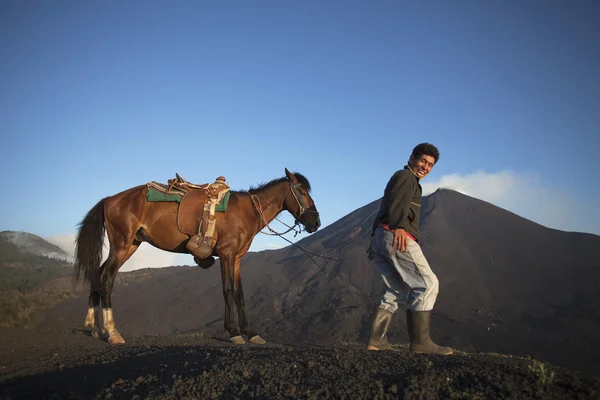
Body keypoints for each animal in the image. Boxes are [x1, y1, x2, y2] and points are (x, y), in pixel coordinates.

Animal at [73, 168, 322, 344]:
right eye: (302, 192)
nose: (316, 222)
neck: (247, 212)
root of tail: (110, 199)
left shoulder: (237, 259)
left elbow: (240, 294)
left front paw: (250, 332)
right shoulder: (227, 254)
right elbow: (228, 290)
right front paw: (234, 332)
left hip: (130, 244)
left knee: (97, 276)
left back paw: (96, 329)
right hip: (121, 245)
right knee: (105, 279)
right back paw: (112, 332)